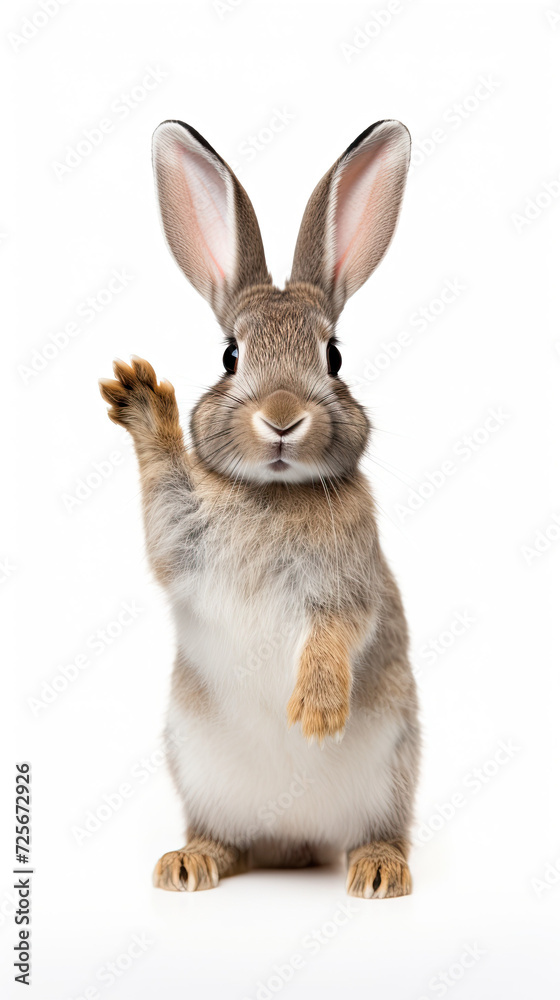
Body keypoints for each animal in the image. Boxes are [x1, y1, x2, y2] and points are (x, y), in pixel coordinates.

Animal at [100, 118, 420, 898]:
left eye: (333, 357)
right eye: (229, 355)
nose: (280, 418)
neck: (273, 493)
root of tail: (296, 840)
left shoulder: (349, 582)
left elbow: (339, 630)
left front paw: (317, 714)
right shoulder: (179, 534)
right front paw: (140, 397)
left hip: (393, 764)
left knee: (380, 832)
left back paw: (378, 871)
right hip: (199, 767)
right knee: (228, 839)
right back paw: (190, 862)